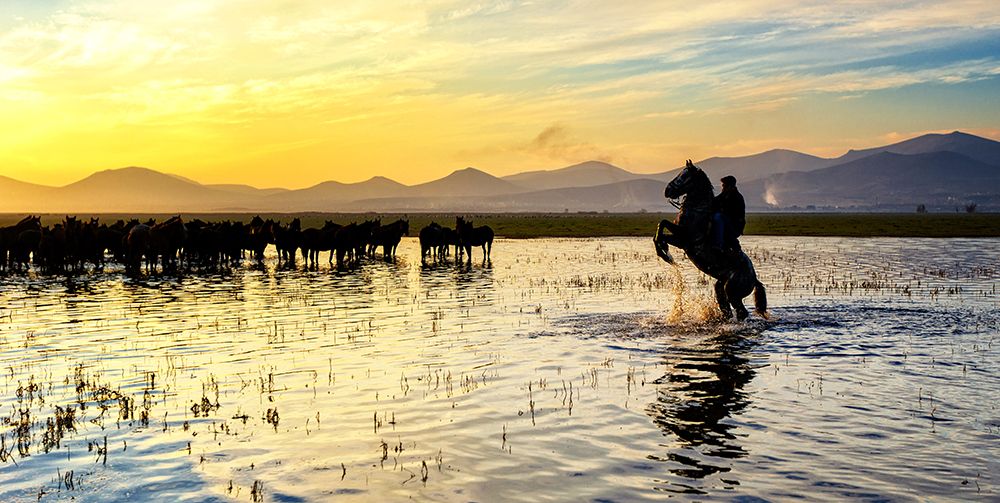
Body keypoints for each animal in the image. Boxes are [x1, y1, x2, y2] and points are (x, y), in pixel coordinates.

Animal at [654, 160, 767, 321]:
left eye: (684, 176)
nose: (667, 190)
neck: (696, 211)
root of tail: (754, 279)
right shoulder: (679, 235)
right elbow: (661, 227)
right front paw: (663, 250)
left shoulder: (683, 239)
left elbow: (662, 227)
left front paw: (664, 253)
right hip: (720, 285)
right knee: (727, 308)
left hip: (732, 291)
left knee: (741, 312)